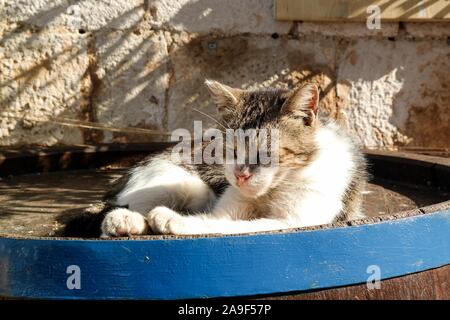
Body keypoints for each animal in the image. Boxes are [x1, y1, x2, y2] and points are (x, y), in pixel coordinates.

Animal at [98, 79, 366, 236]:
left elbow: (229, 226)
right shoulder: (227, 205)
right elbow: (219, 219)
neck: (270, 192)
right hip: (180, 182)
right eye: (231, 150)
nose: (240, 174)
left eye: (267, 153)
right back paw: (125, 219)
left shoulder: (295, 221)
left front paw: (175, 221)